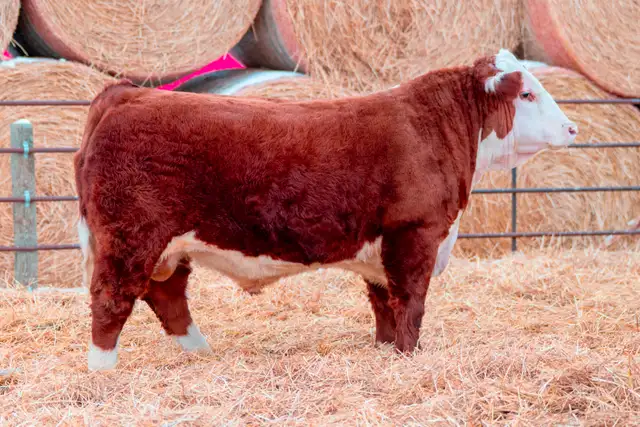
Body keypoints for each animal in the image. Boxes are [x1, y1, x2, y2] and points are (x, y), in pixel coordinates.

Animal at [74, 49, 577, 371]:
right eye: (527, 95)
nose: (572, 128)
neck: (439, 128)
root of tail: (128, 94)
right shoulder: (415, 233)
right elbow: (410, 303)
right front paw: (409, 356)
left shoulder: (382, 248)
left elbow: (384, 304)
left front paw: (385, 351)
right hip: (131, 236)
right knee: (112, 298)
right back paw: (103, 372)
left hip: (168, 247)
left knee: (167, 296)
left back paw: (201, 352)